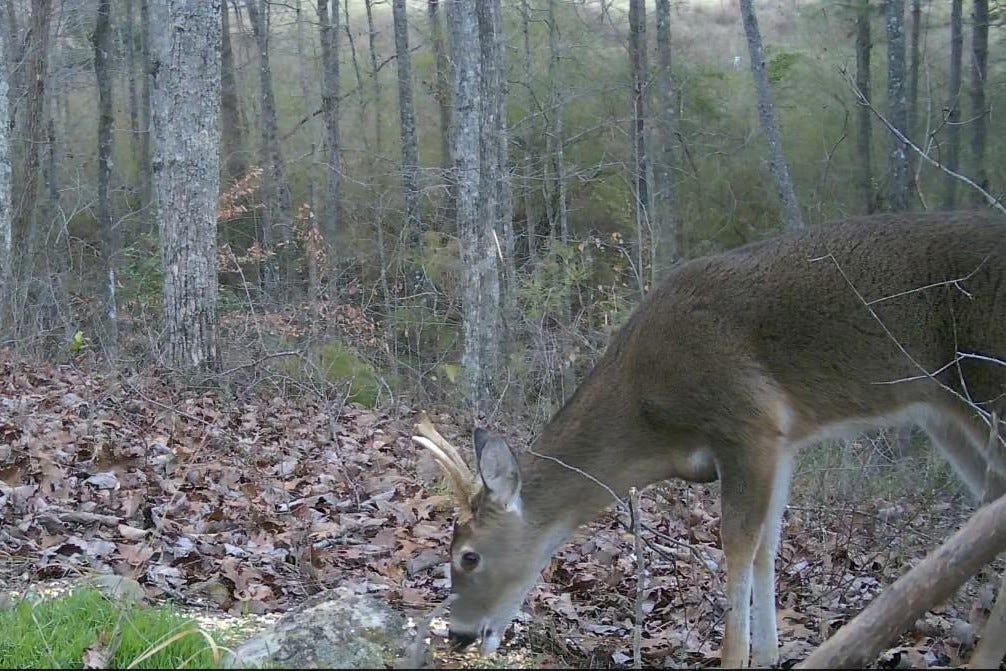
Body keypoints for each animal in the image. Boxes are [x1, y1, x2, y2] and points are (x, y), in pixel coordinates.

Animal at [412, 210, 1006, 668]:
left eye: (468, 557)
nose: (459, 634)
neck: (650, 419)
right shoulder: (782, 442)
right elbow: (769, 545)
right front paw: (768, 656)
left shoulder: (746, 422)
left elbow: (738, 546)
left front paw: (736, 656)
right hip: (949, 417)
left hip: (988, 387)